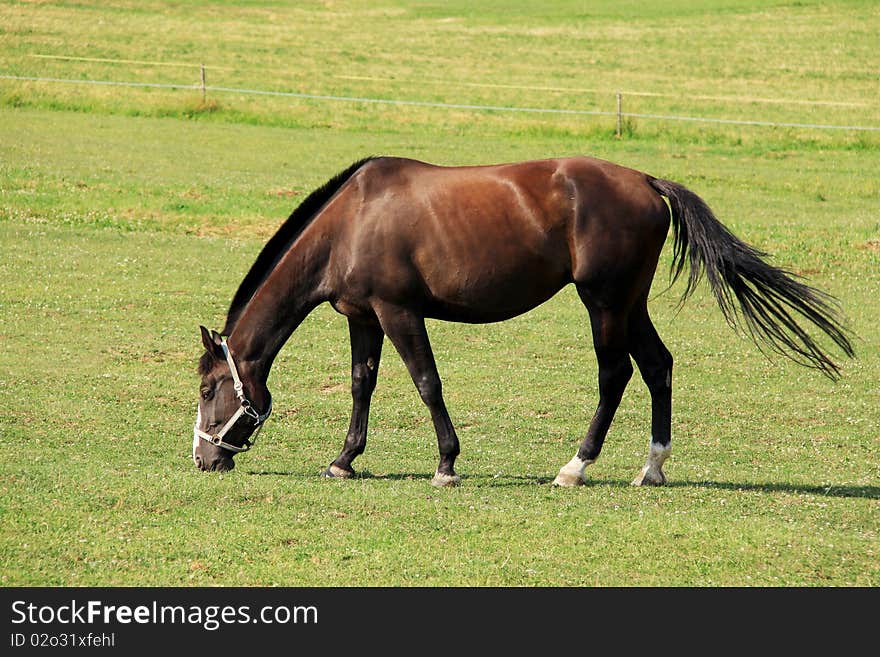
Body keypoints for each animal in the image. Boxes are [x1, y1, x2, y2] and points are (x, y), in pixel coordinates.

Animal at [191, 156, 852, 486]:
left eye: (206, 390)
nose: (202, 459)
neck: (351, 219)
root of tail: (644, 180)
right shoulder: (364, 317)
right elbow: (363, 385)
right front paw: (344, 460)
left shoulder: (399, 311)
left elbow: (427, 383)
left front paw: (447, 465)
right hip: (629, 303)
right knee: (658, 367)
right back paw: (652, 467)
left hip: (604, 303)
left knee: (615, 375)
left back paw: (576, 467)